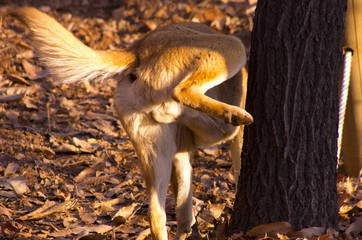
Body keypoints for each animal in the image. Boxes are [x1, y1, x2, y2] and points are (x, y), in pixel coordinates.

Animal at [12, 7, 255, 240]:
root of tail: (139, 52)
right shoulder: (229, 146)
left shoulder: (182, 155)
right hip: (230, 48)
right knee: (186, 96)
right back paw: (232, 114)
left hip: (155, 153)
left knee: (156, 213)